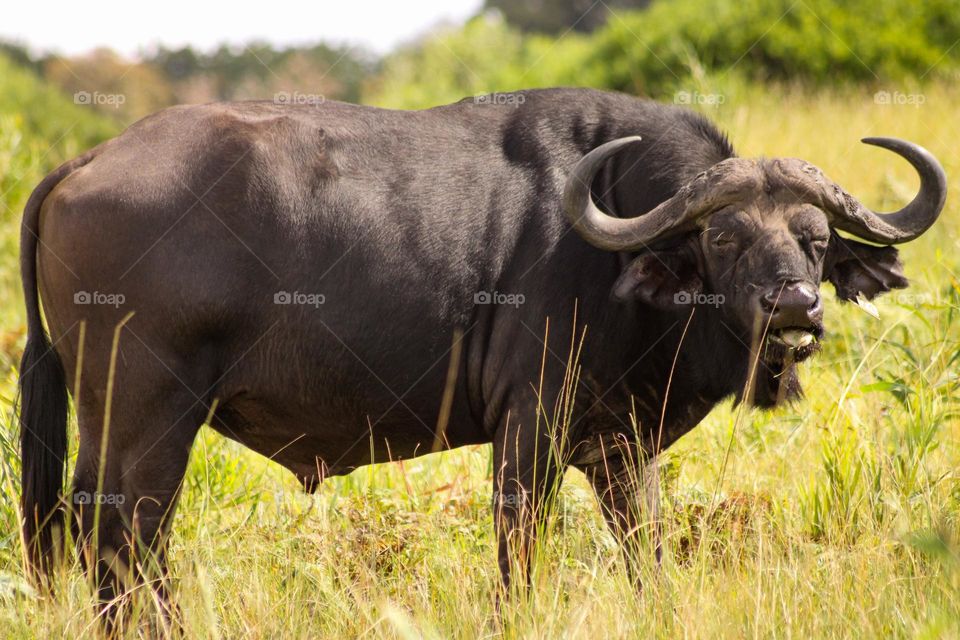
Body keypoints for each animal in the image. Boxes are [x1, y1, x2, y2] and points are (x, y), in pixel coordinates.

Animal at [18, 88, 945, 622]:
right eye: (724, 236)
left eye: (815, 239)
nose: (795, 308)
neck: (618, 247)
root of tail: (86, 160)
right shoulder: (528, 429)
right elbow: (520, 551)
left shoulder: (621, 446)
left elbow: (645, 551)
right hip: (148, 414)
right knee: (124, 533)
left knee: (96, 532)